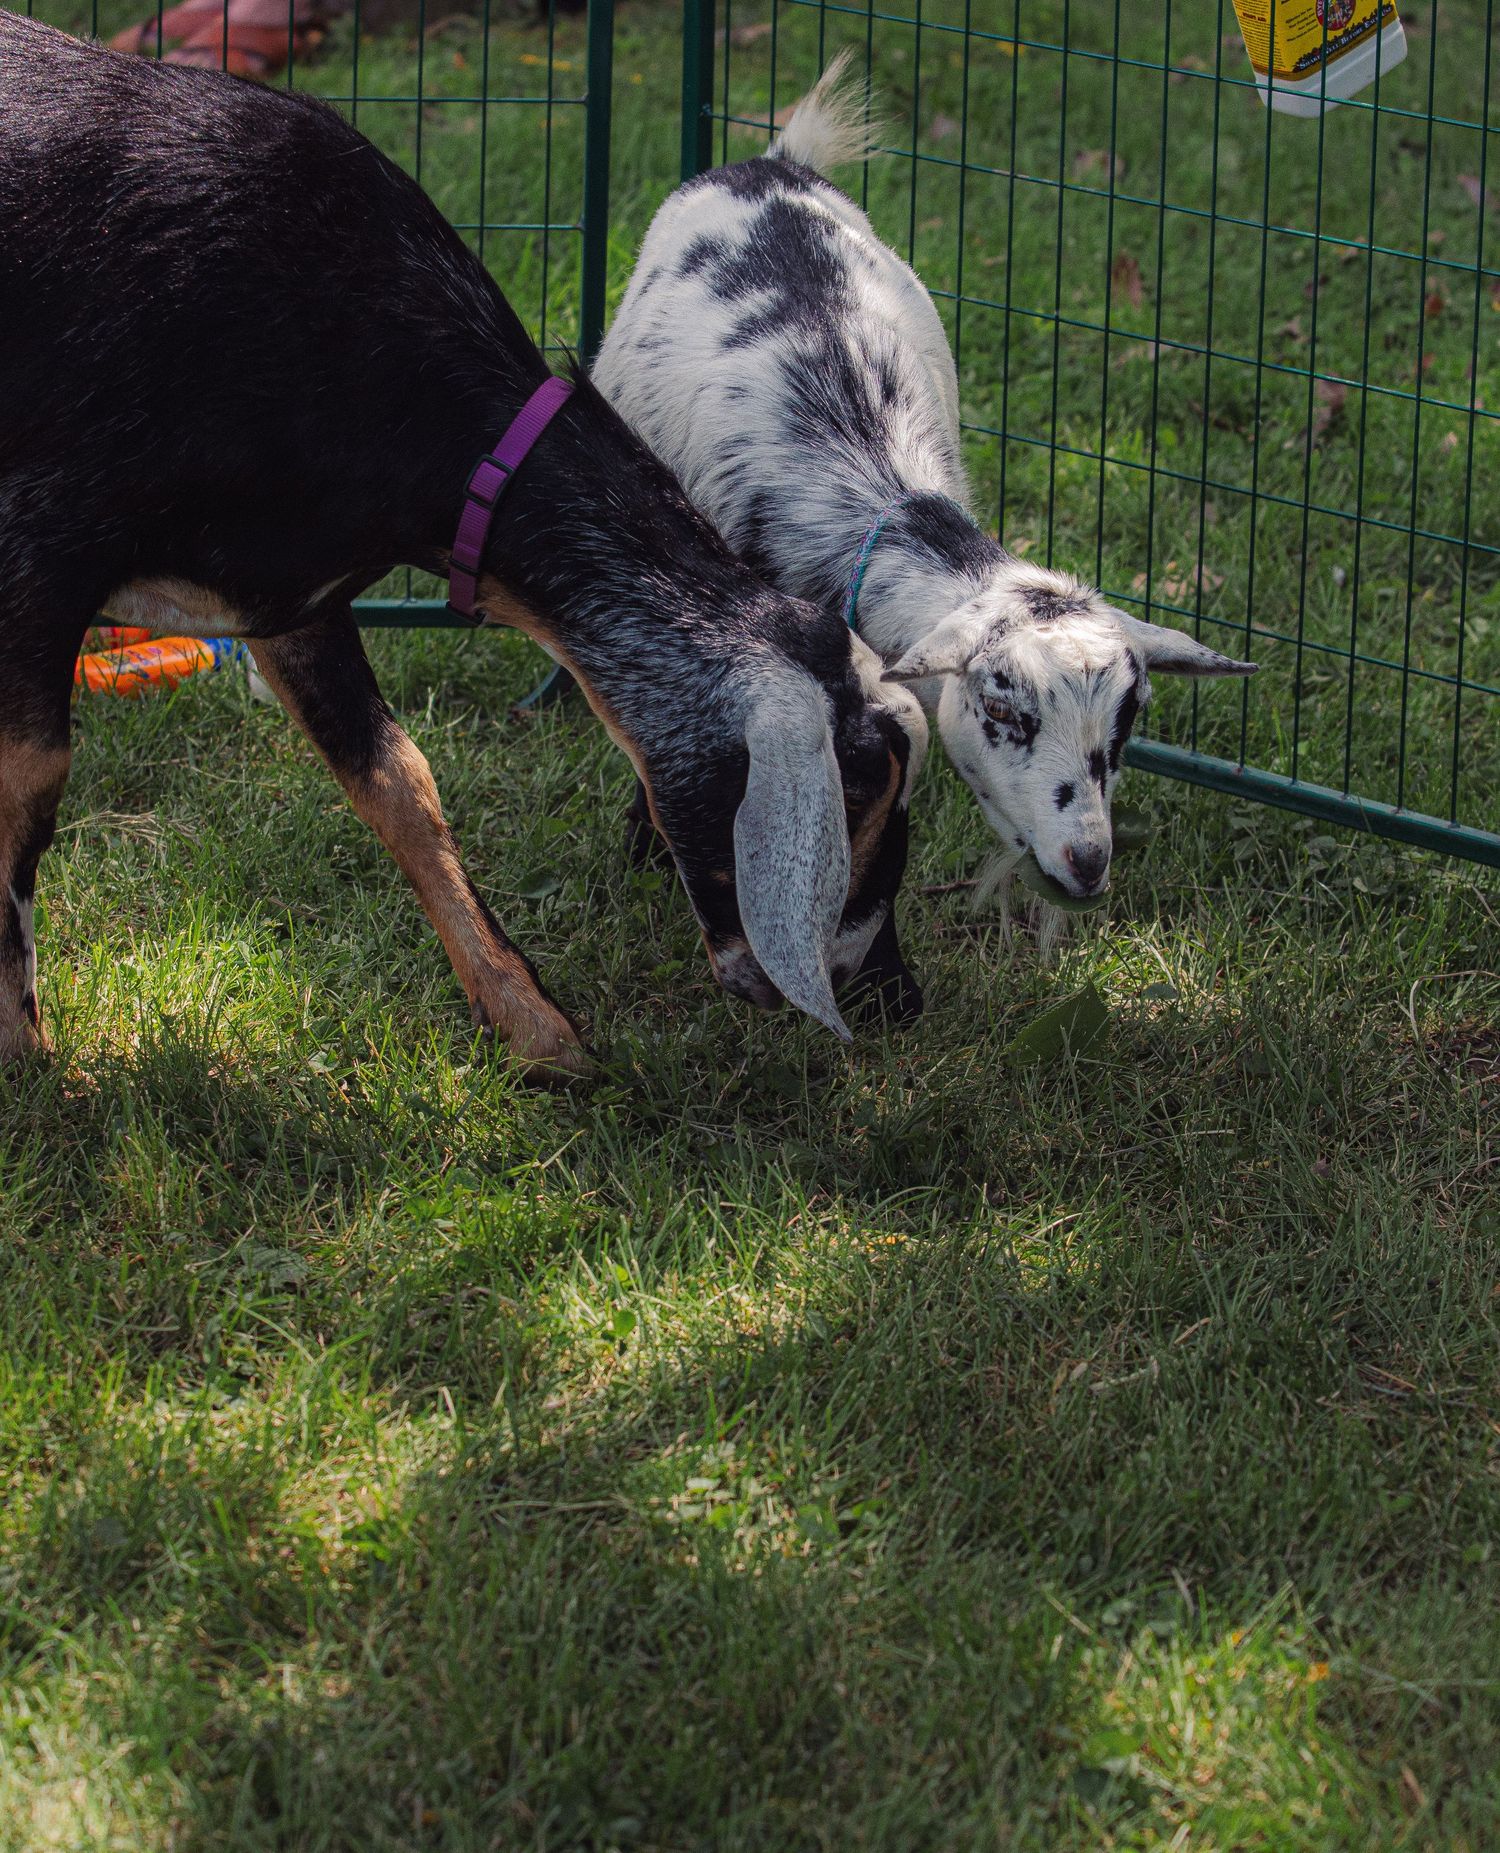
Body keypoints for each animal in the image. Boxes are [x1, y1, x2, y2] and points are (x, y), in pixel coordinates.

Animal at [0, 16, 927, 1081]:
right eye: (854, 799)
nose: (888, 991)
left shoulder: (286, 590)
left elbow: (399, 779)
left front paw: (532, 1022)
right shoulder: (38, 550)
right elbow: (28, 780)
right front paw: (24, 1053)